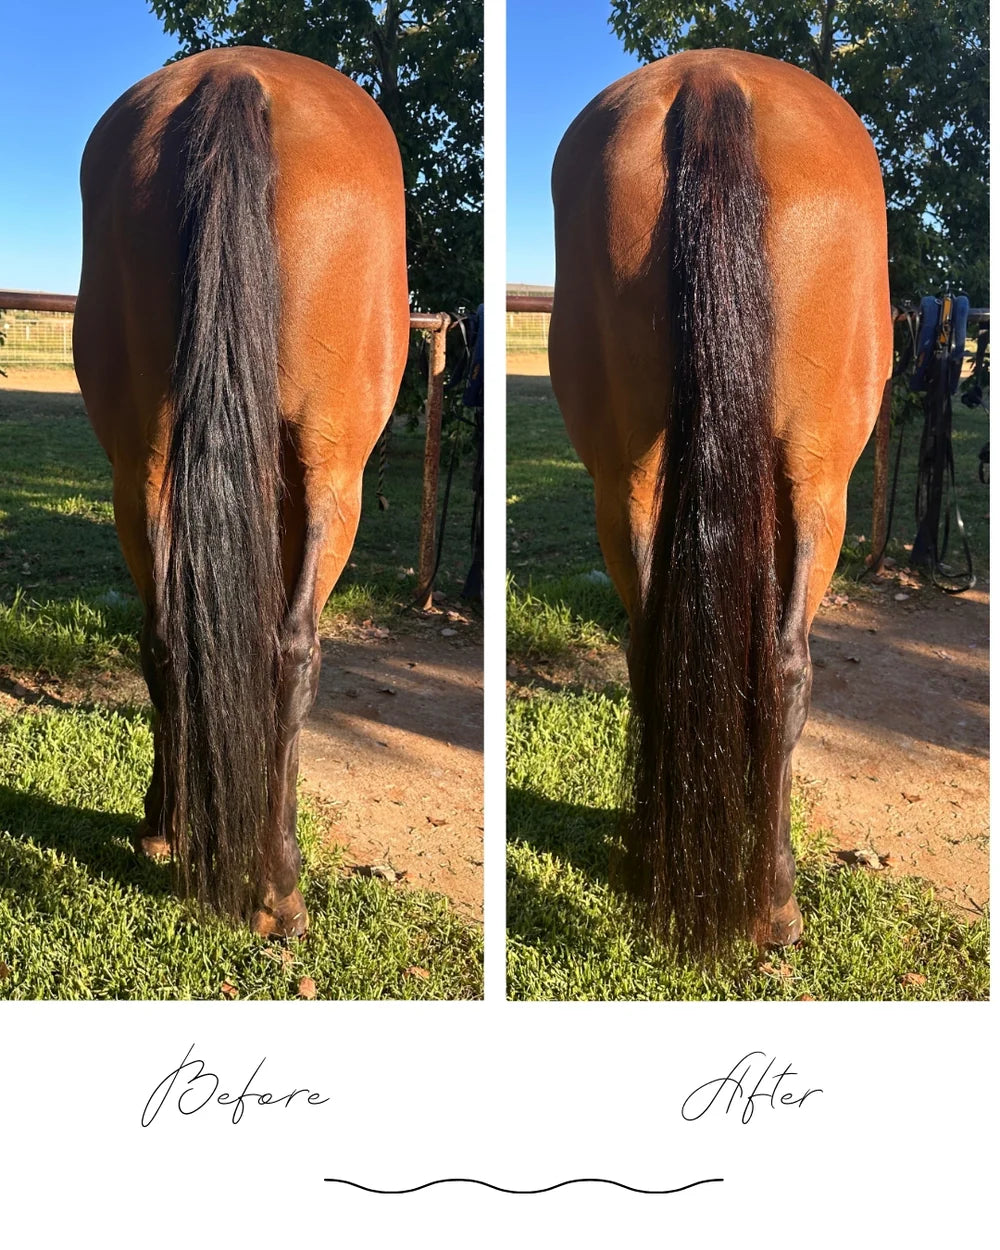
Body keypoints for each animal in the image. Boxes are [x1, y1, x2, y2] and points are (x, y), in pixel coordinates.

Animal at [73, 47, 409, 937]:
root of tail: (236, 77)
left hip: (140, 469)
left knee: (164, 638)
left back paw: (168, 829)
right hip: (333, 474)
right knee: (290, 651)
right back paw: (278, 889)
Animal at [549, 49, 892, 960]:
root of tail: (711, 79)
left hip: (625, 475)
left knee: (649, 646)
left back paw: (656, 863)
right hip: (817, 480)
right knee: (784, 664)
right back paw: (771, 901)